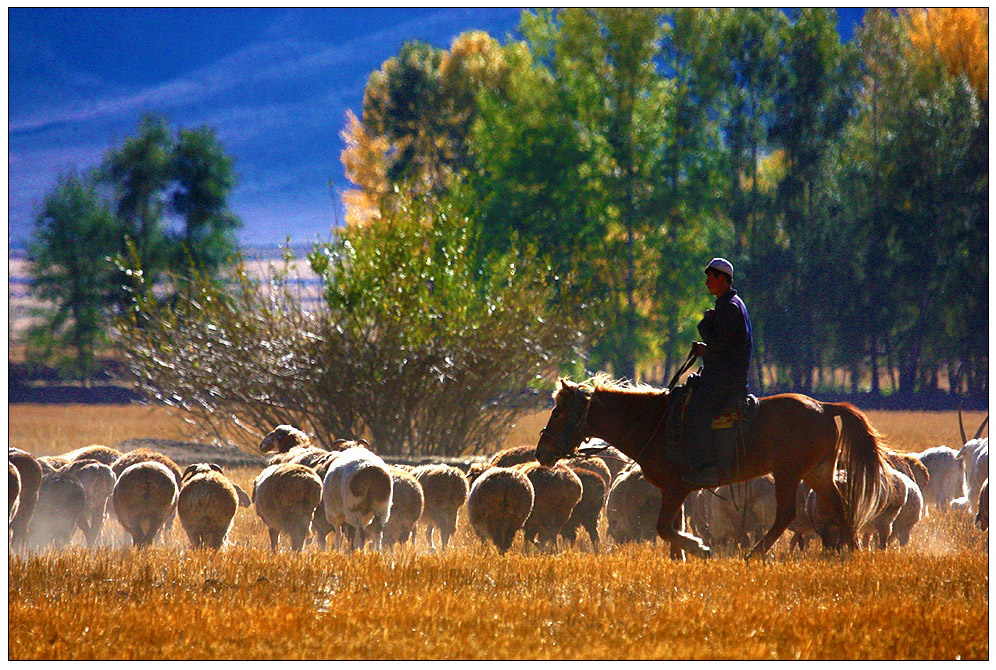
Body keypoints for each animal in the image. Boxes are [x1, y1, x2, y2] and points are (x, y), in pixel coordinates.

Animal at [536, 376, 888, 560]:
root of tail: (824, 407)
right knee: (841, 507)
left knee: (785, 515)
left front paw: (699, 548)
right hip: (817, 472)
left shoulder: (676, 487)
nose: (542, 453)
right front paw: (680, 557)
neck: (654, 423)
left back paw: (754, 555)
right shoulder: (674, 491)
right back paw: (853, 552)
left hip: (788, 473)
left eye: (558, 412)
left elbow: (665, 528)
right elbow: (670, 529)